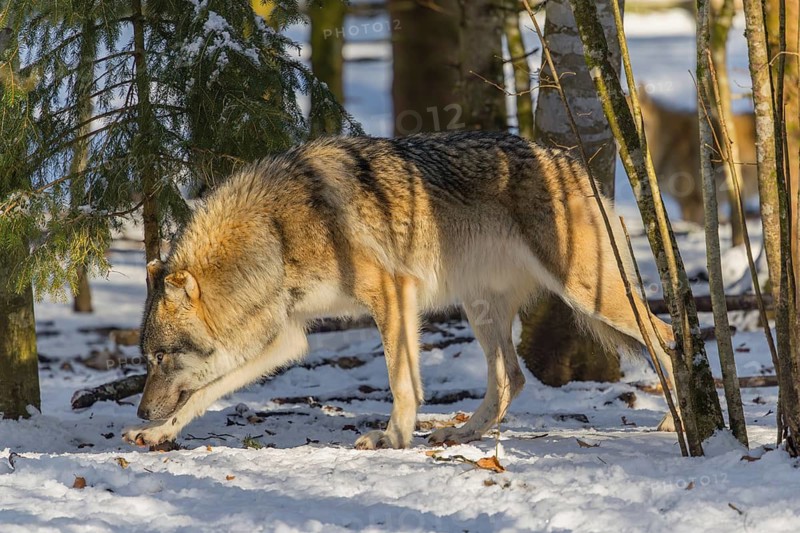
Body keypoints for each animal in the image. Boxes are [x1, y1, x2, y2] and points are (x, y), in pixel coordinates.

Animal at [123, 131, 678, 450]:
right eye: (147, 359)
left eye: (161, 358)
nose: (141, 410)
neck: (275, 234)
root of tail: (574, 161)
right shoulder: (289, 339)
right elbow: (205, 394)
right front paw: (158, 433)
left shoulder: (391, 292)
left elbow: (400, 381)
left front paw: (393, 437)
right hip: (479, 308)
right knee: (511, 380)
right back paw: (460, 433)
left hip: (590, 296)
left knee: (667, 336)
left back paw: (678, 422)